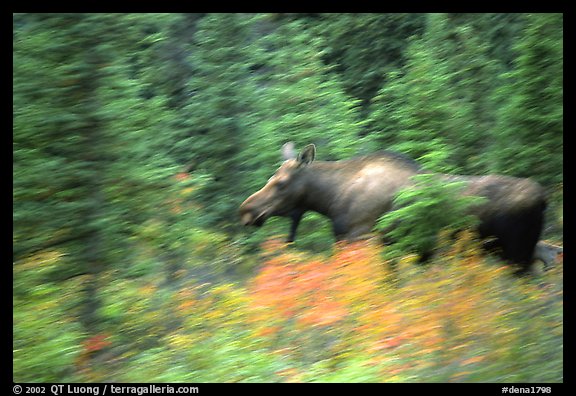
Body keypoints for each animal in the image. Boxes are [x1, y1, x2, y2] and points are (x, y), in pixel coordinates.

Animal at [241, 143, 548, 276]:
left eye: (281, 182)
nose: (246, 210)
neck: (331, 199)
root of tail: (544, 199)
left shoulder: (360, 239)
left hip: (517, 253)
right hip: (526, 251)